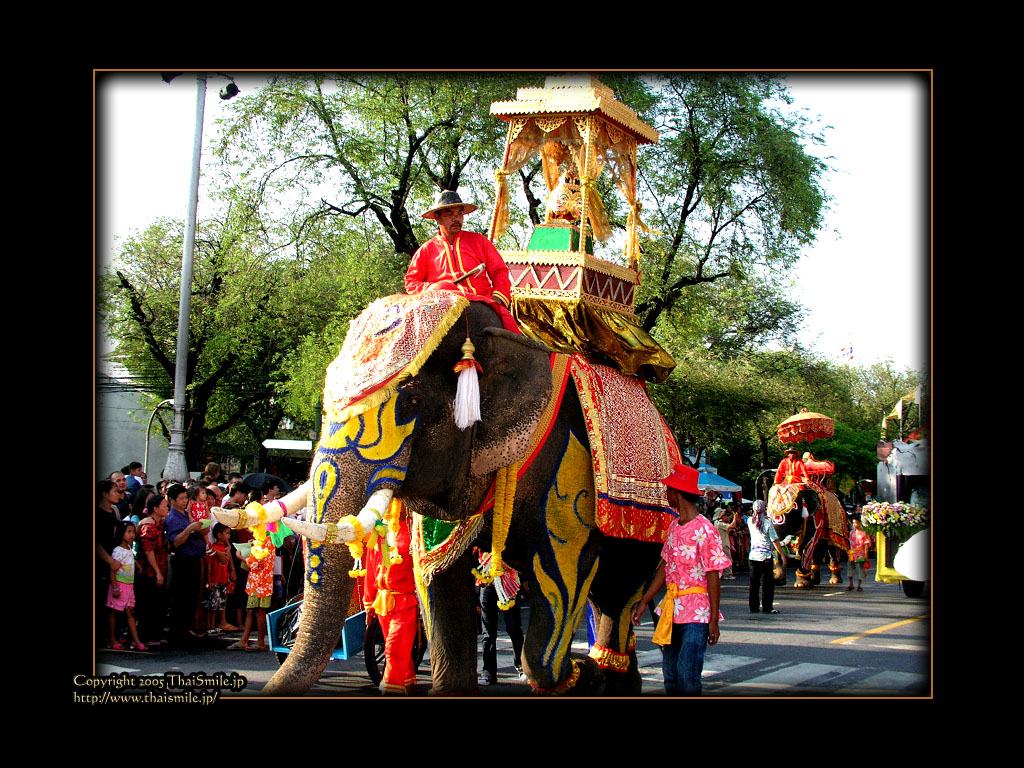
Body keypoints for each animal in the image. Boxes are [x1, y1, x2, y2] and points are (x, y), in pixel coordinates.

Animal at [231, 292, 679, 696]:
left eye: (412, 400)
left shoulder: (566, 471)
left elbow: (564, 570)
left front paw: (583, 674)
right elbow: (434, 575)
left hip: (648, 518)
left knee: (618, 593)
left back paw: (609, 671)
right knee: (607, 596)